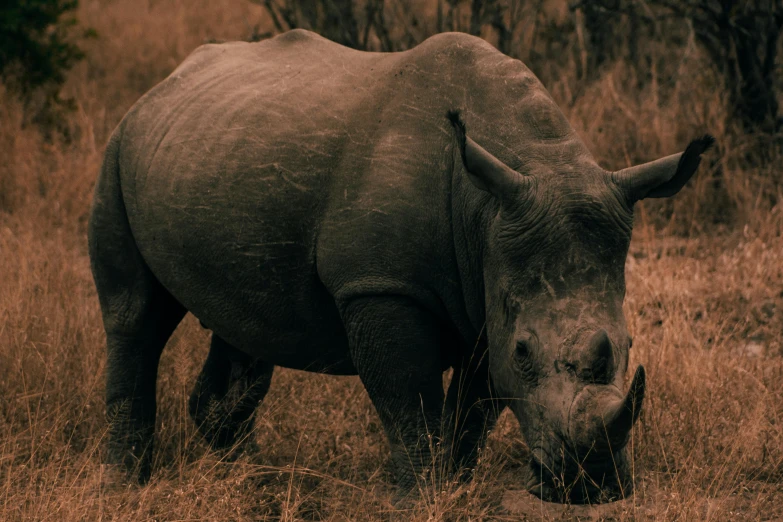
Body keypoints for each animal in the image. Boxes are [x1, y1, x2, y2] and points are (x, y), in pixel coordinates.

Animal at [89, 28, 712, 500]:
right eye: (525, 352)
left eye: (629, 345)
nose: (590, 488)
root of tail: (162, 85)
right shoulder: (381, 285)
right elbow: (408, 401)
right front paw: (422, 498)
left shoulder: (488, 296)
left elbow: (473, 409)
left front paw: (456, 489)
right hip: (118, 149)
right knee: (134, 317)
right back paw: (126, 485)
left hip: (212, 151)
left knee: (244, 324)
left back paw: (250, 480)